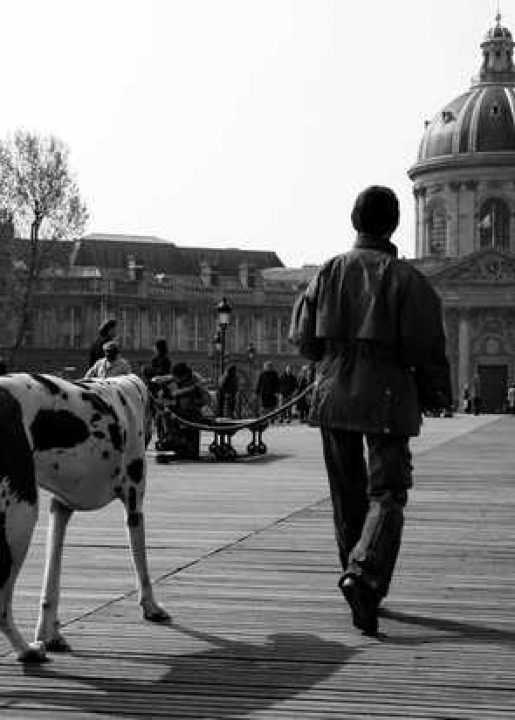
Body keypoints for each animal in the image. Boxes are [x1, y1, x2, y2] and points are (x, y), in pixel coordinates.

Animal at [0, 374, 168, 660]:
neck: (128, 392)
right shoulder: (134, 508)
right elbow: (142, 567)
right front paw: (151, 606)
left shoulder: (60, 511)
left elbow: (51, 583)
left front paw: (51, 634)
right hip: (21, 520)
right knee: (1, 604)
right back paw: (25, 649)